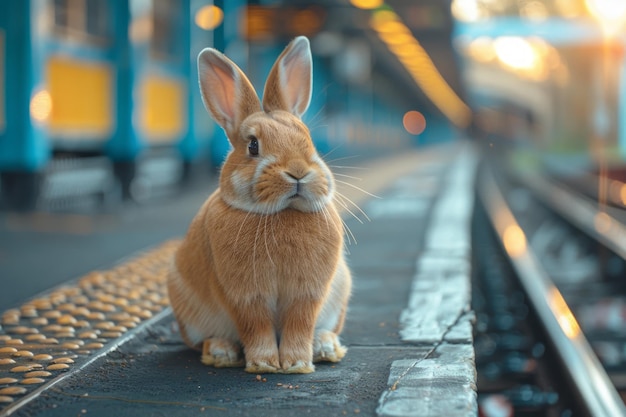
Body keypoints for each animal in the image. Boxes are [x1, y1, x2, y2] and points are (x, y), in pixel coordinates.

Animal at [167, 36, 352, 374]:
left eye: (308, 139)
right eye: (253, 146)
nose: (298, 172)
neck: (280, 212)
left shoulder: (307, 293)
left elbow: (300, 323)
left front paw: (296, 364)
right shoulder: (244, 295)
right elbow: (256, 325)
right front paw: (265, 364)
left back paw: (325, 347)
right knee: (203, 340)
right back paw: (221, 353)